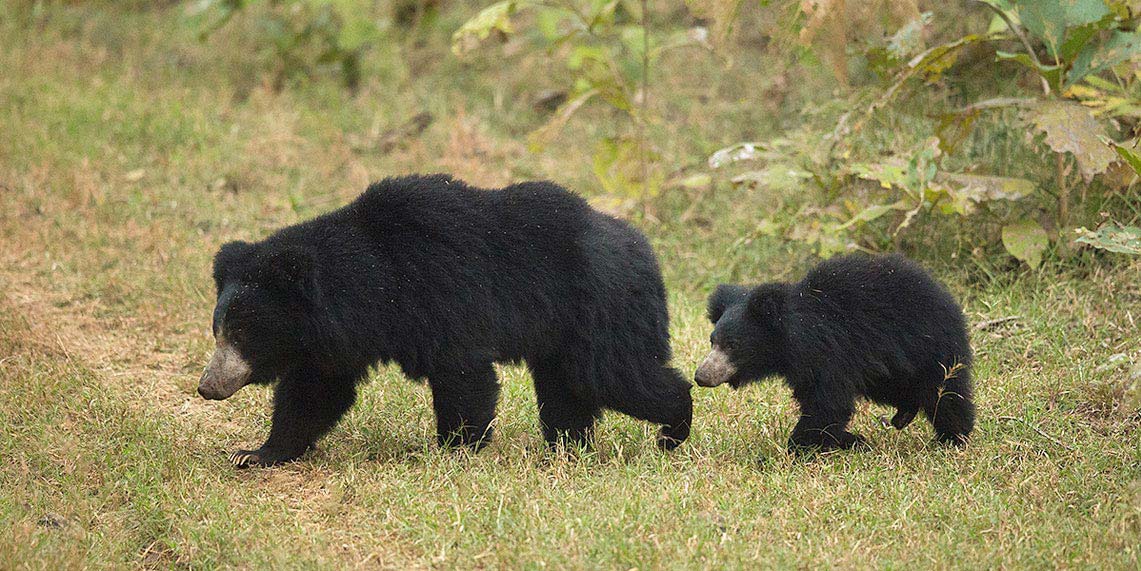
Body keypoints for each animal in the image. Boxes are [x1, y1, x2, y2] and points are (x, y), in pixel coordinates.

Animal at [199, 174, 689, 468]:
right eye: (218, 330)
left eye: (242, 332)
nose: (207, 386)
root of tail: (644, 249)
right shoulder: (335, 340)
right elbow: (312, 392)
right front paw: (257, 453)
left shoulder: (442, 296)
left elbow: (462, 374)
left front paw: (455, 450)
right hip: (563, 334)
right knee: (566, 389)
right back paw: (568, 450)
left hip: (601, 308)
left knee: (612, 375)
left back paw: (674, 429)